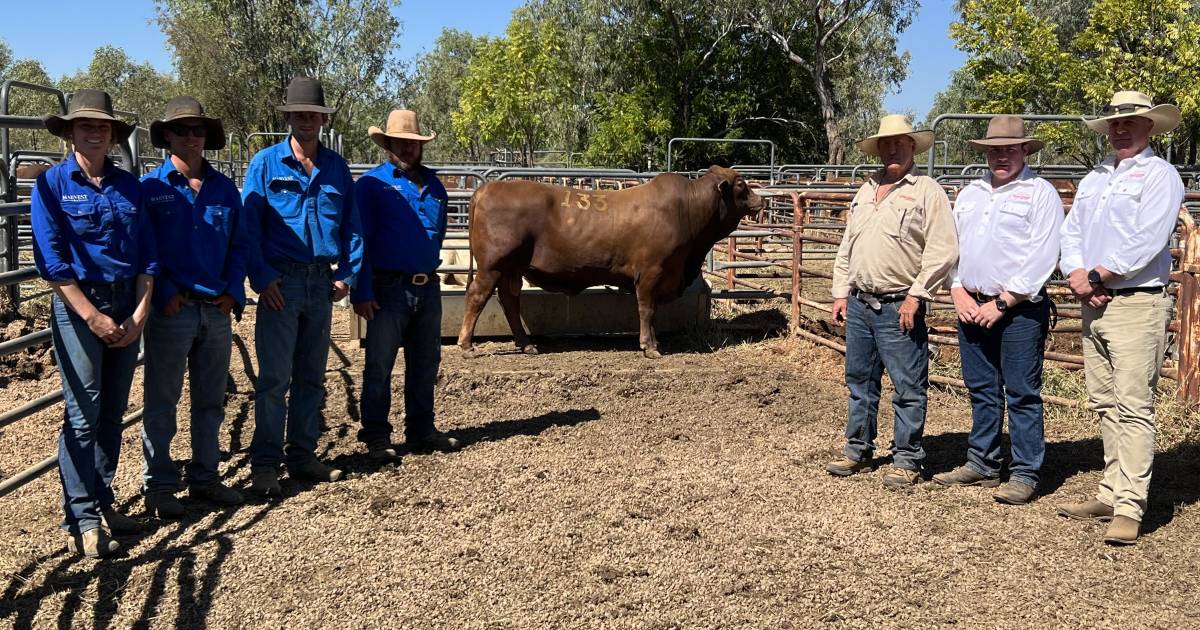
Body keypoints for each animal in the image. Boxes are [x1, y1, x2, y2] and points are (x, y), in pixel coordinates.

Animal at [453, 164, 763, 355]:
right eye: (741, 184)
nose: (761, 200)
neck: (687, 209)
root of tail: (486, 189)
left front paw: (653, 342)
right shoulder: (650, 273)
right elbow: (647, 310)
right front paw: (650, 347)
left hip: (512, 269)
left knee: (509, 300)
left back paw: (526, 344)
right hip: (493, 266)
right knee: (477, 296)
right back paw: (466, 345)